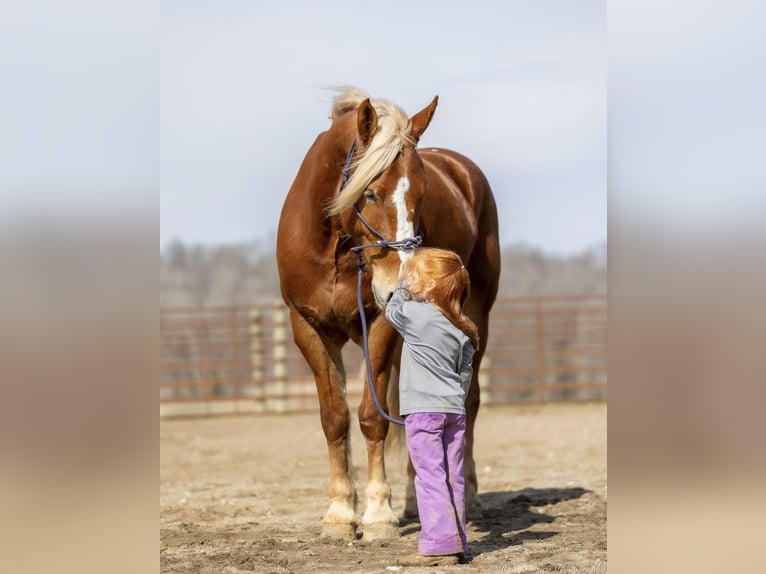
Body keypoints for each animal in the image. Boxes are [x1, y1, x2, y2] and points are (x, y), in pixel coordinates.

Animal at [280, 88, 500, 544]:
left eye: (423, 193)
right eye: (370, 193)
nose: (399, 282)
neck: (335, 250)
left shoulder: (379, 326)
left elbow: (370, 417)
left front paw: (378, 512)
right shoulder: (308, 329)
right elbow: (334, 419)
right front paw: (339, 513)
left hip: (476, 318)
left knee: (467, 403)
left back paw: (467, 498)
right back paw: (418, 501)